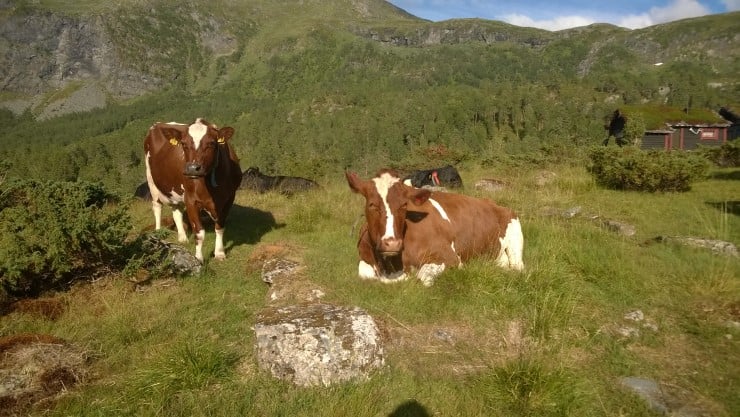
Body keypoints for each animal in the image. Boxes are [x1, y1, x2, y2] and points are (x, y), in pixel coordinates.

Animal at [142, 117, 240, 260]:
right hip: (152, 181)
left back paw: (182, 237)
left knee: (176, 211)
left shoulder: (229, 199)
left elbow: (220, 227)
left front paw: (219, 253)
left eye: (211, 143)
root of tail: (159, 124)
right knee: (157, 207)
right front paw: (198, 258)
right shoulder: (191, 200)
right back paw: (158, 233)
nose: (192, 168)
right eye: (183, 144)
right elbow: (199, 233)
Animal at [346, 169, 524, 286]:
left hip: (515, 241)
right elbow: (365, 274)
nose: (392, 243)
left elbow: (423, 277)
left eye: (404, 205)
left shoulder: (449, 257)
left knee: (518, 267)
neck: (392, 266)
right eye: (372, 204)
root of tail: (491, 202)